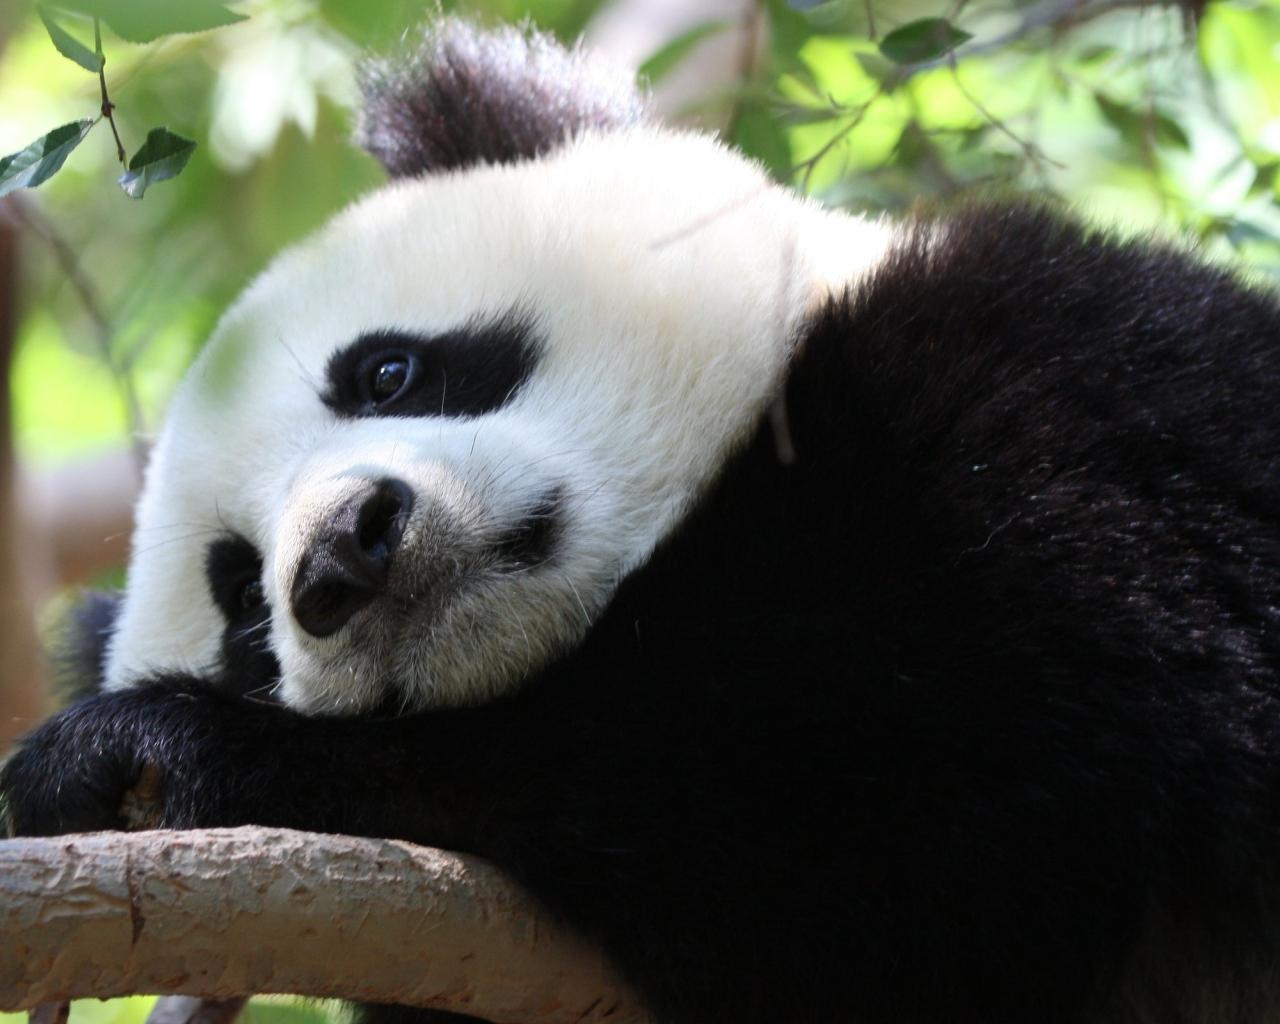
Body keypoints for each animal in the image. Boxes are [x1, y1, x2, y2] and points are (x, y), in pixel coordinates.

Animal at [6, 15, 1280, 1024]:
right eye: (242, 608)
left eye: (387, 371)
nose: (342, 555)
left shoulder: (1066, 415)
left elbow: (880, 798)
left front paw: (159, 751)